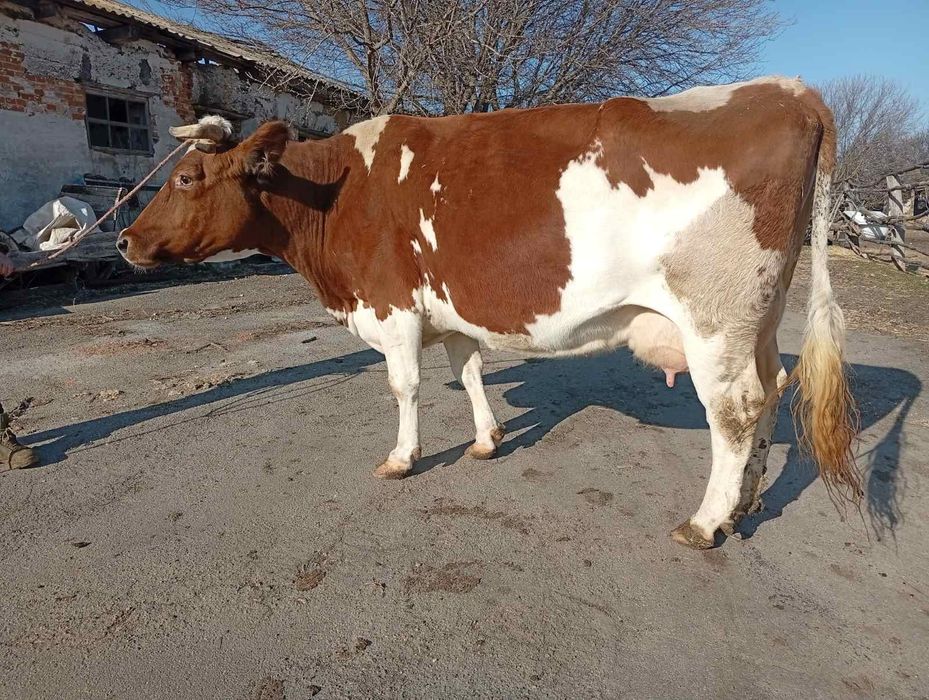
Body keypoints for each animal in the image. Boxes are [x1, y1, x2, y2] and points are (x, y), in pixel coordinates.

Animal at [117, 75, 861, 549]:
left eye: (186, 178)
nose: (124, 240)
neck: (337, 192)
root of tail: (788, 88)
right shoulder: (450, 309)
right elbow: (468, 372)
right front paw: (485, 440)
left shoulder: (391, 305)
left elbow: (404, 386)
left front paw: (402, 458)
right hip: (757, 316)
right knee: (772, 389)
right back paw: (747, 502)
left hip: (713, 318)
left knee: (734, 411)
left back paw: (706, 523)